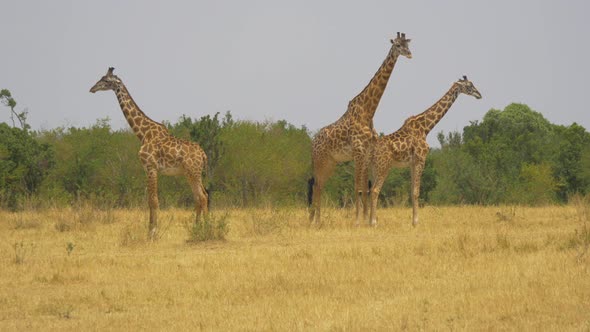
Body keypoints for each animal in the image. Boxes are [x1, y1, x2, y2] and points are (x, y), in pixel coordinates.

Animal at [88, 67, 208, 239]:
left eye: (105, 80)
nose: (92, 89)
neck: (143, 133)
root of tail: (203, 154)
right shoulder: (148, 169)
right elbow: (150, 200)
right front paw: (150, 230)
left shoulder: (151, 167)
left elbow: (153, 200)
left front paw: (152, 232)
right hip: (190, 173)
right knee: (200, 196)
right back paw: (197, 228)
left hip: (194, 172)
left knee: (203, 197)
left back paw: (207, 228)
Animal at [308, 32, 414, 224]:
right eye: (397, 45)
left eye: (407, 44)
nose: (409, 54)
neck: (368, 111)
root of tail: (312, 143)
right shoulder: (358, 151)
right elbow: (357, 186)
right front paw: (357, 220)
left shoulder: (367, 152)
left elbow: (364, 187)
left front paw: (365, 220)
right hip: (320, 160)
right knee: (317, 185)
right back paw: (315, 221)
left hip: (330, 162)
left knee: (319, 185)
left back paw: (314, 219)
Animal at [372, 75, 484, 226]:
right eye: (469, 85)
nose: (479, 95)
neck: (426, 128)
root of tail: (372, 150)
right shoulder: (421, 159)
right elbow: (416, 192)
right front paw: (416, 222)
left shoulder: (412, 163)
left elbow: (412, 191)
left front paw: (413, 221)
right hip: (384, 166)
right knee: (375, 190)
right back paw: (373, 222)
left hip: (374, 167)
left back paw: (367, 220)